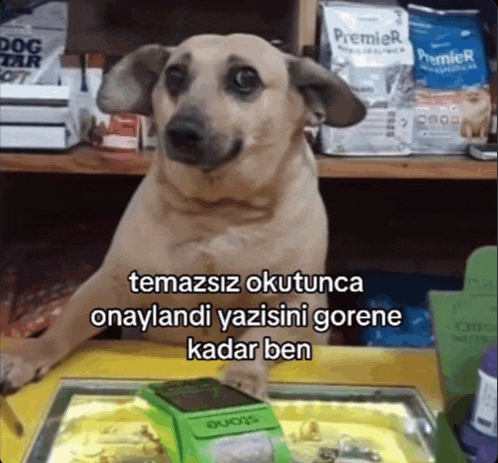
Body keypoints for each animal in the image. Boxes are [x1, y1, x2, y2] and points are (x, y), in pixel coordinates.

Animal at [0, 34, 366, 398]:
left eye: (245, 78)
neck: (219, 210)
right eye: (174, 75)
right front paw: (28, 355)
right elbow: (65, 323)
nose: (180, 131)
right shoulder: (111, 282)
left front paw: (244, 374)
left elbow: (259, 337)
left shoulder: (300, 304)